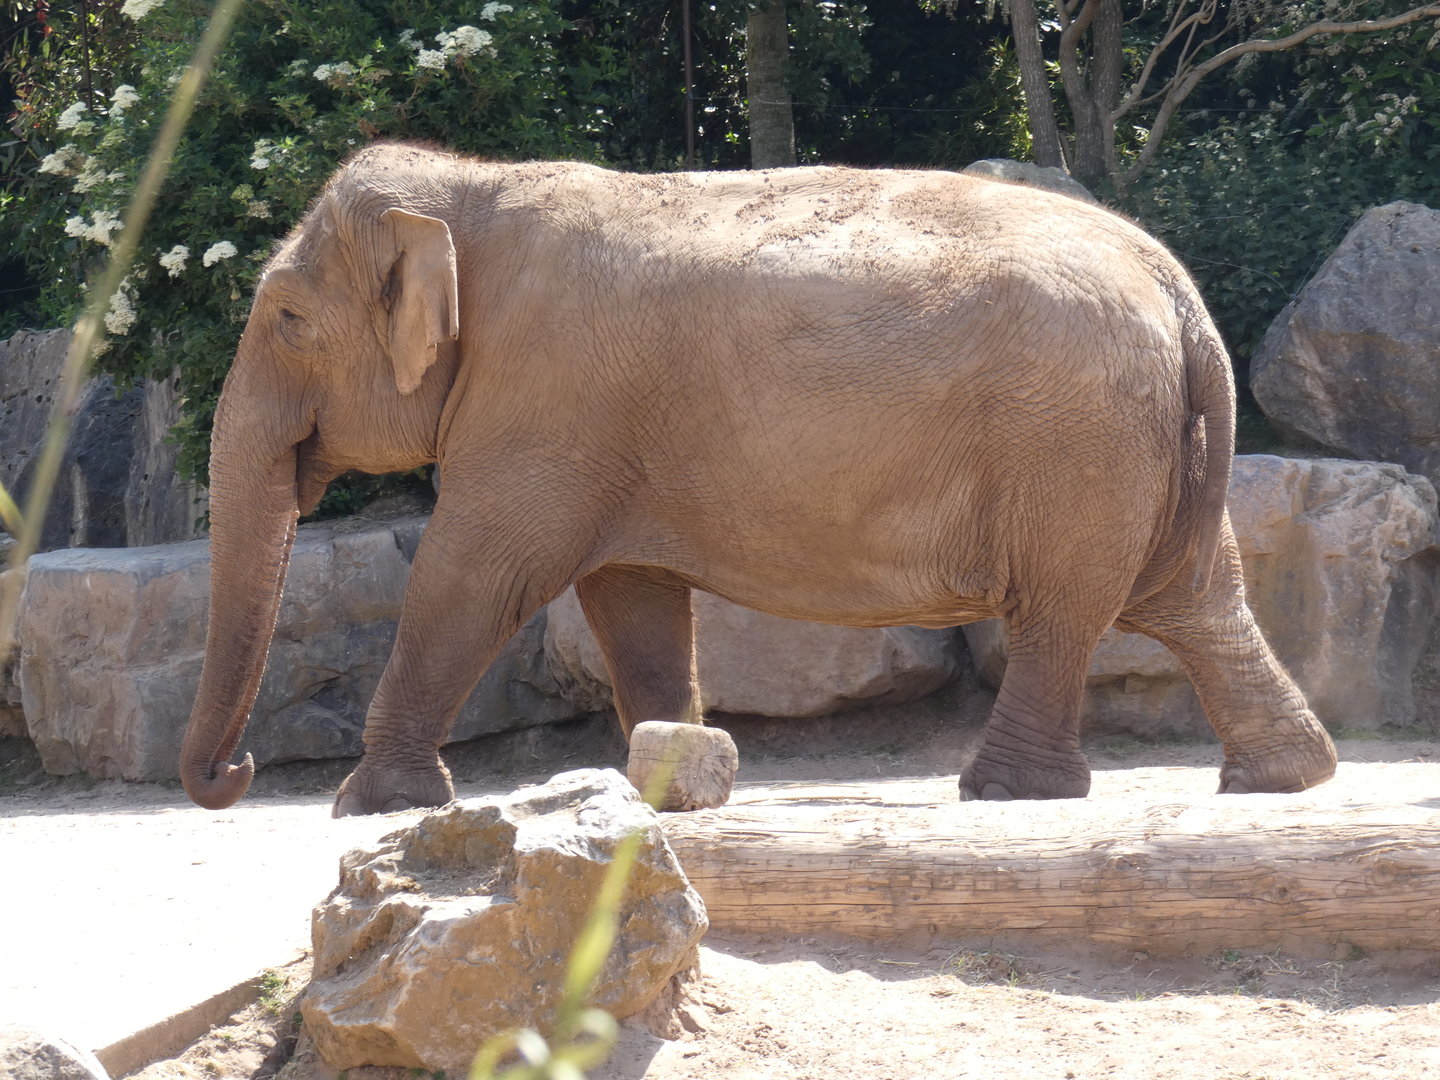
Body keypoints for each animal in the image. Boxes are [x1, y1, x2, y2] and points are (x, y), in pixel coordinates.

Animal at [179, 142, 1338, 817]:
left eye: (287, 319)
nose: (235, 776)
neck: (474, 189)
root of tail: (1177, 287)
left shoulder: (547, 403)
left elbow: (475, 575)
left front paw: (368, 808)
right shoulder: (594, 428)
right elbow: (631, 597)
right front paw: (672, 781)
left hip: (1075, 445)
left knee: (1067, 611)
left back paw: (1008, 794)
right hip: (1136, 450)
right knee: (1195, 598)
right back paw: (1284, 777)